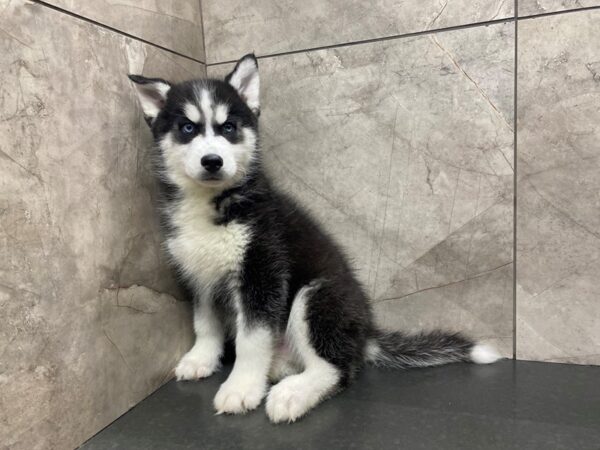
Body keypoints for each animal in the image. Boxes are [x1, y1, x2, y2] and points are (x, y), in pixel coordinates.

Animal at [129, 54, 500, 424]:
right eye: (187, 128)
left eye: (229, 128)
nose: (212, 161)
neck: (214, 201)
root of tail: (365, 332)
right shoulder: (200, 275)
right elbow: (205, 322)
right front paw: (201, 358)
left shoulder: (261, 272)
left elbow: (251, 339)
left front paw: (241, 387)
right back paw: (278, 369)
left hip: (316, 297)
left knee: (337, 369)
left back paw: (293, 393)